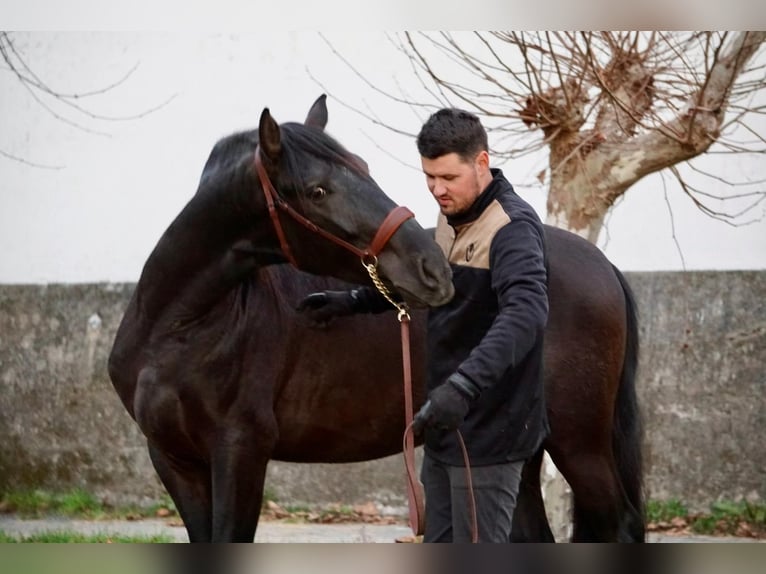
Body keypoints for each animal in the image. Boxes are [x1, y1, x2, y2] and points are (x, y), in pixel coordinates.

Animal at [109, 94, 648, 544]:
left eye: (364, 168)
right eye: (317, 190)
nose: (432, 268)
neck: (180, 330)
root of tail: (604, 266)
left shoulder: (241, 451)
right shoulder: (174, 460)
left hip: (579, 443)